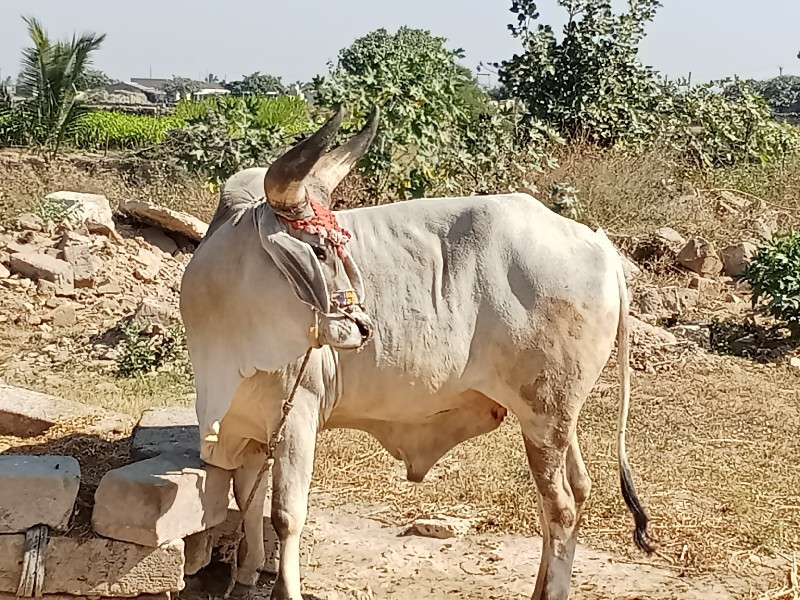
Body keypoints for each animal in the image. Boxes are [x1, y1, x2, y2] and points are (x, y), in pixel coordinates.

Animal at [180, 109, 648, 600]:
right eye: (321, 249)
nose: (364, 327)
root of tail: (598, 245)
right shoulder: (247, 428)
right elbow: (249, 502)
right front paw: (247, 573)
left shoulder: (298, 415)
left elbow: (286, 515)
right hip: (556, 414)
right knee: (573, 492)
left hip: (545, 414)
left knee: (560, 506)